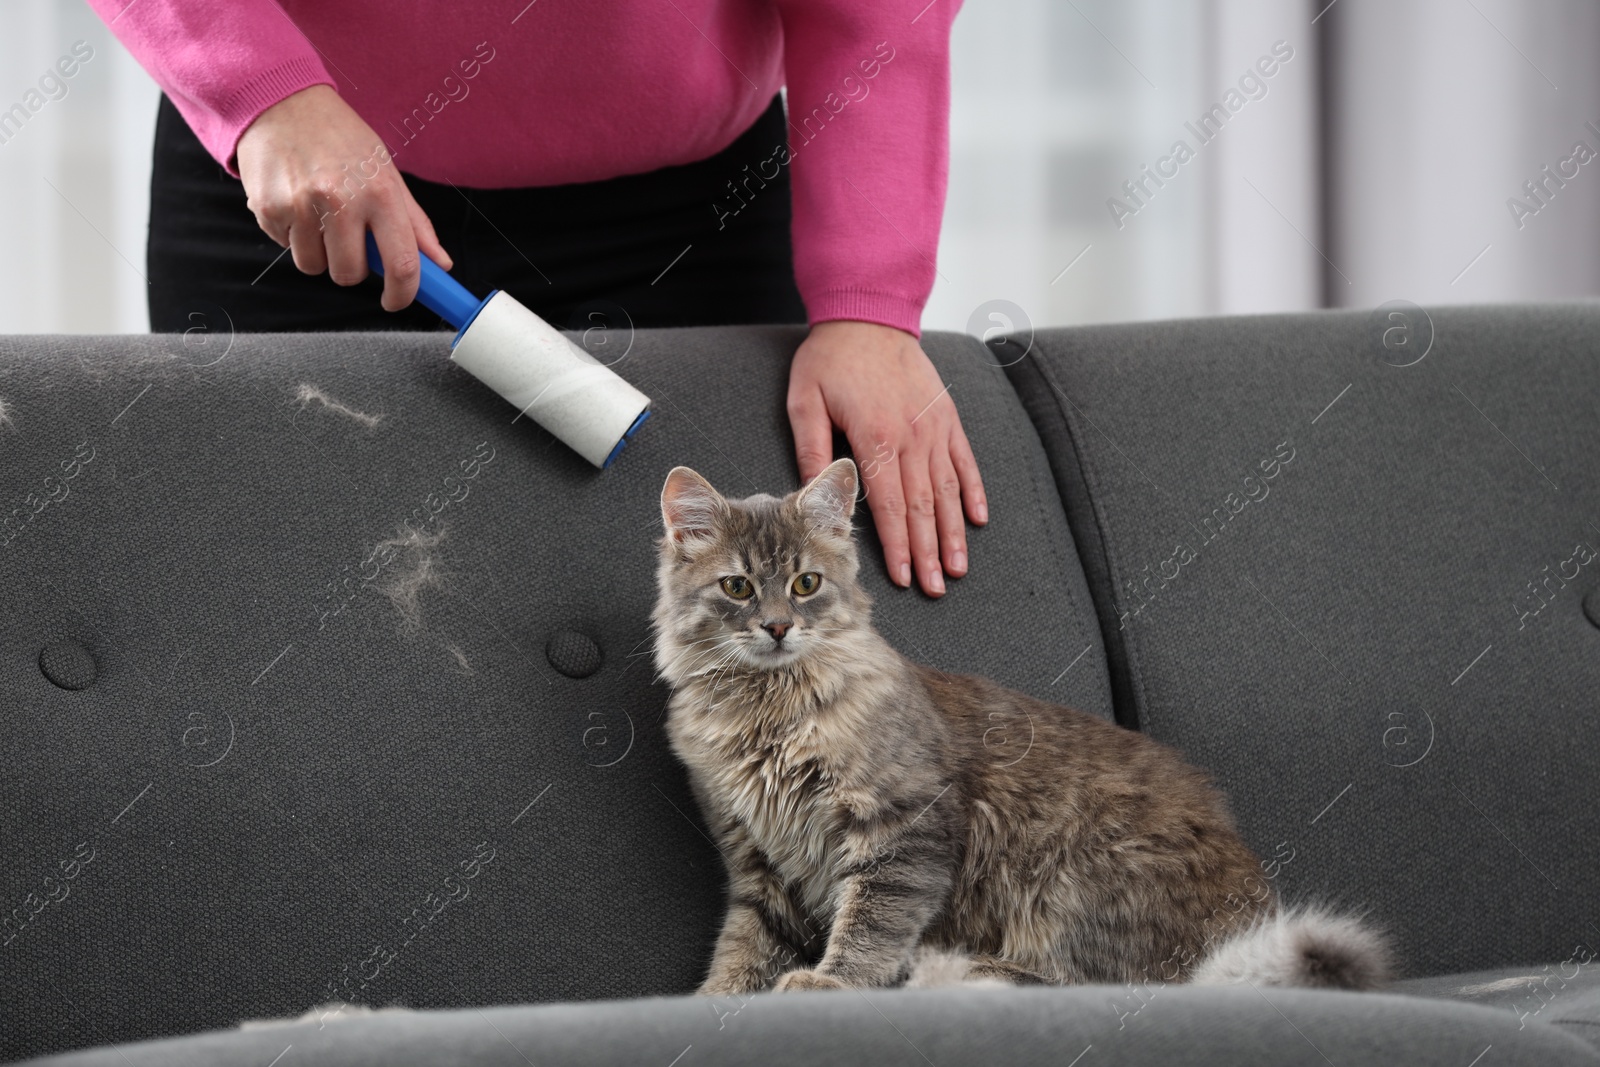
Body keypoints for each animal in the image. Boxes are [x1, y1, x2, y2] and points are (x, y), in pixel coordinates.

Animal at [649, 460, 1388, 1004]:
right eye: (739, 587)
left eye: (805, 584)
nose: (778, 627)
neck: (763, 714)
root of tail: (1251, 912)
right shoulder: (757, 859)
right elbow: (743, 947)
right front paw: (712, 1000)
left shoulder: (903, 831)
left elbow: (871, 924)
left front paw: (831, 982)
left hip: (1073, 873)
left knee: (1105, 981)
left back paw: (966, 971)